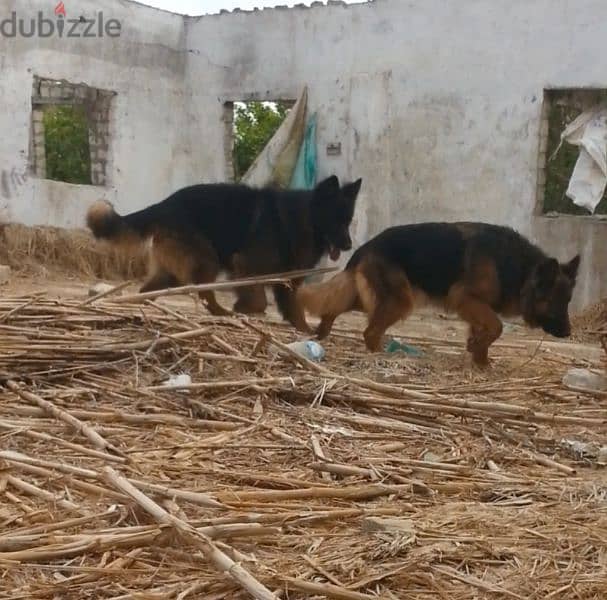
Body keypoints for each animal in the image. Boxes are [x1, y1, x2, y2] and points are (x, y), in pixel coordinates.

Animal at [85, 173, 360, 332]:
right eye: (336, 220)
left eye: (348, 221)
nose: (349, 245)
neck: (301, 217)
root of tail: (163, 204)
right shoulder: (246, 266)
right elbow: (259, 300)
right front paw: (243, 308)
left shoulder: (287, 279)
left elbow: (293, 308)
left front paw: (304, 330)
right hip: (207, 259)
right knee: (204, 291)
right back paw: (221, 312)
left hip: (174, 271)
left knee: (148, 291)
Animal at [296, 221, 580, 366]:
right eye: (555, 302)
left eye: (568, 301)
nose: (568, 333)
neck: (519, 269)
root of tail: (366, 247)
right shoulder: (466, 298)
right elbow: (496, 327)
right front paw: (479, 352)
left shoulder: (476, 306)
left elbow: (483, 330)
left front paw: (480, 359)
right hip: (400, 300)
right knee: (370, 331)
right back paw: (380, 355)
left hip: (371, 297)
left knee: (334, 305)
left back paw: (322, 331)